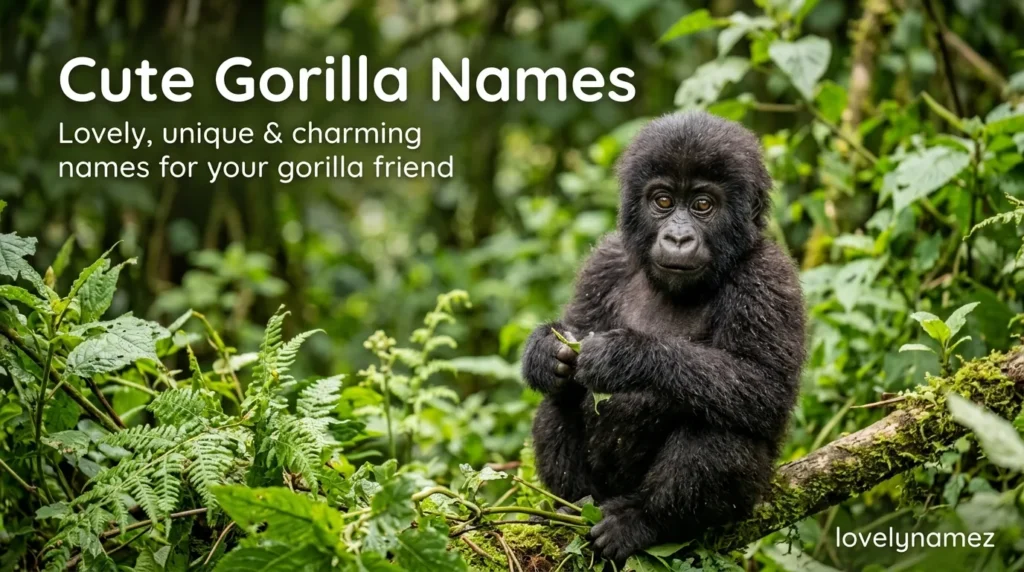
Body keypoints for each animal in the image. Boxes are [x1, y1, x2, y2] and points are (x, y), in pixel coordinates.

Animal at [521, 111, 806, 562]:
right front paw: (546, 351)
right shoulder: (605, 262)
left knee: (719, 423)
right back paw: (566, 508)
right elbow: (575, 333)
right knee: (559, 399)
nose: (677, 238)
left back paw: (643, 522)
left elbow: (766, 386)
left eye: (703, 205)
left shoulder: (768, 276)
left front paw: (625, 357)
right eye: (663, 201)